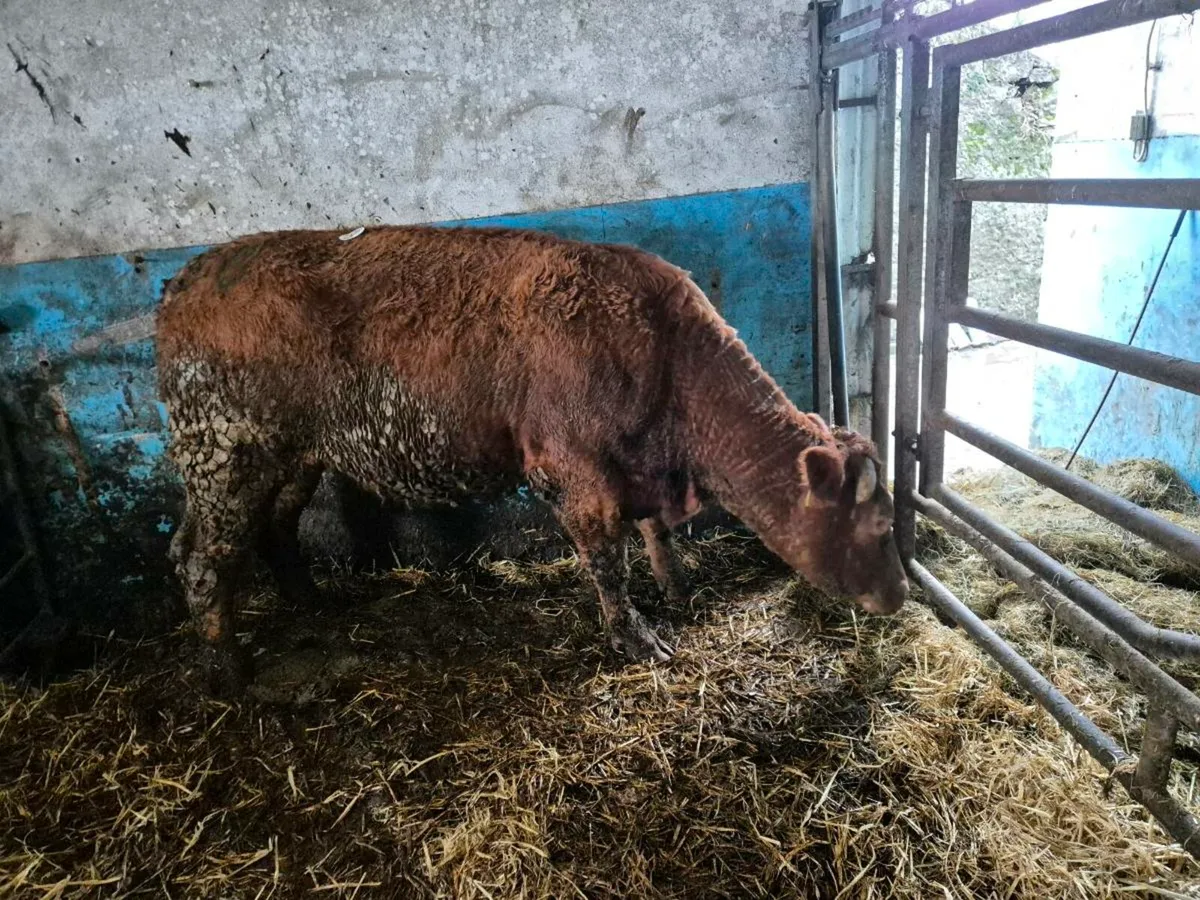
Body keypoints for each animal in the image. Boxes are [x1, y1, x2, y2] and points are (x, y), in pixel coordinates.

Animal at [156, 226, 908, 691]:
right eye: (878, 527)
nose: (900, 596)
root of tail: (190, 276)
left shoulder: (637, 466)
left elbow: (656, 535)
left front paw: (678, 588)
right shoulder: (575, 473)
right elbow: (608, 563)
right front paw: (637, 637)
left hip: (291, 455)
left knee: (275, 528)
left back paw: (309, 601)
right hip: (225, 449)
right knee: (198, 555)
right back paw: (227, 669)